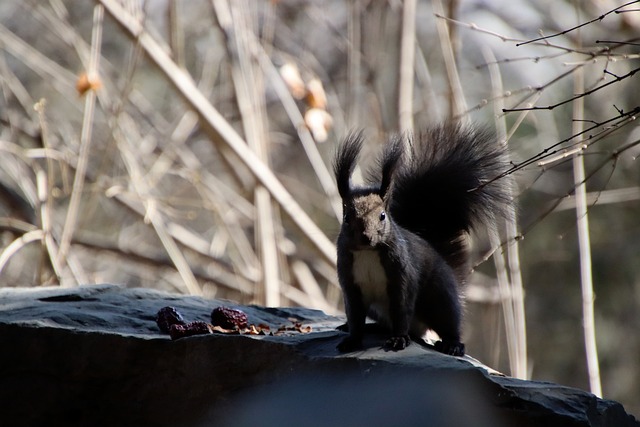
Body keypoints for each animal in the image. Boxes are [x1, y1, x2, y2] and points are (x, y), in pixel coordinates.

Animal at [332, 123, 512, 358]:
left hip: (439, 298)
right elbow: (354, 315)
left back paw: (452, 344)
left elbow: (401, 309)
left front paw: (398, 339)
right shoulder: (349, 282)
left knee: (447, 323)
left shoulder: (403, 276)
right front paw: (352, 339)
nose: (366, 237)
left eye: (382, 216)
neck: (368, 253)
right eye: (346, 218)